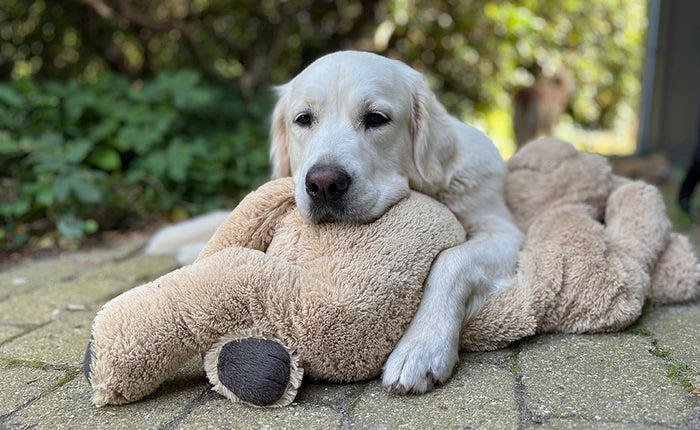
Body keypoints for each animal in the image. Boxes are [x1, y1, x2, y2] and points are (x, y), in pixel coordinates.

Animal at [270, 50, 524, 394]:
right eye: (303, 119)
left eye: (376, 118)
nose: (323, 184)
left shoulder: (502, 230)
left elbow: (453, 260)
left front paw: (422, 346)